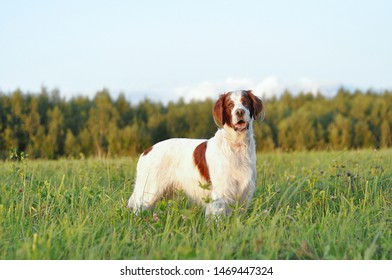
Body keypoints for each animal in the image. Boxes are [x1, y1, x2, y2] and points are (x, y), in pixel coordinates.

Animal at [128, 89, 264, 214]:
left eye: (245, 102)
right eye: (230, 104)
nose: (240, 112)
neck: (236, 145)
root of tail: (147, 150)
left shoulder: (243, 194)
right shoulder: (220, 194)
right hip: (149, 192)